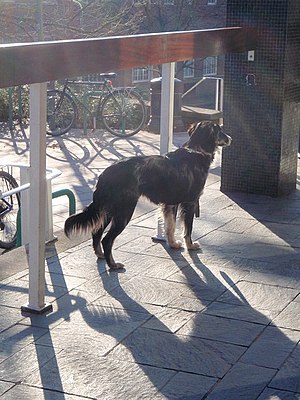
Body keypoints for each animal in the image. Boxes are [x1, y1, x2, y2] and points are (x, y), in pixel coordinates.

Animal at [64, 120, 231, 270]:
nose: (230, 138)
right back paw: (113, 265)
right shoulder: (189, 202)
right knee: (107, 239)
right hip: (124, 211)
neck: (196, 150)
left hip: (109, 210)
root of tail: (106, 173)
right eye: (220, 130)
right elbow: (187, 230)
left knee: (96, 232)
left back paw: (101, 255)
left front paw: (173, 244)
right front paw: (190, 246)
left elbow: (170, 227)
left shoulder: (171, 204)